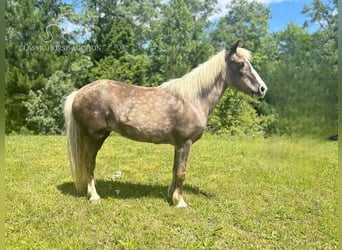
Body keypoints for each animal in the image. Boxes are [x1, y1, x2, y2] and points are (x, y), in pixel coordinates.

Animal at [63, 41, 268, 207]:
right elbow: (182, 173)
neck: (192, 99)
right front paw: (180, 202)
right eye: (241, 64)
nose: (262, 89)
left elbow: (175, 170)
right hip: (95, 136)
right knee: (89, 163)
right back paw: (94, 196)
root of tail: (78, 93)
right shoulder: (185, 143)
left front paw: (172, 196)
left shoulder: (179, 145)